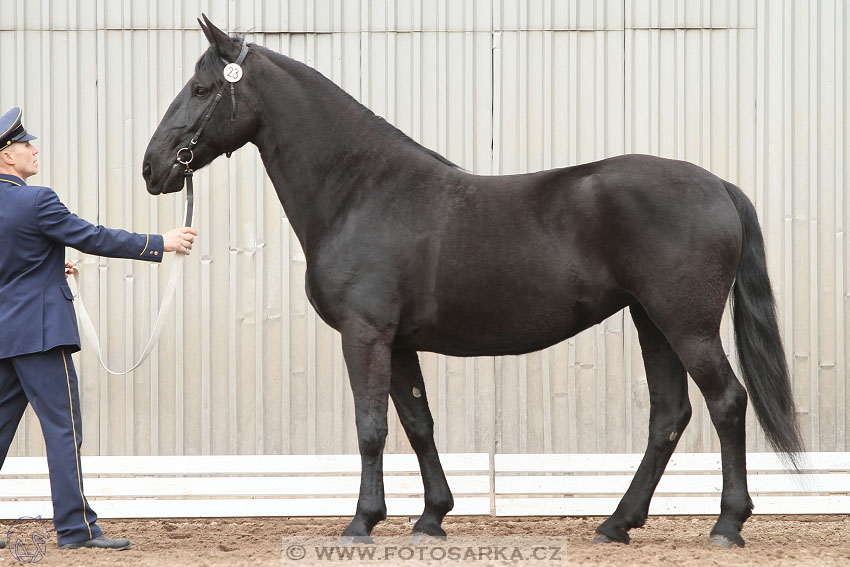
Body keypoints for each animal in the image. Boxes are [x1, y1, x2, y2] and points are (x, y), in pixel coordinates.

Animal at [142, 16, 800, 552]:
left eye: (202, 89)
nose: (152, 167)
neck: (361, 190)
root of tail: (718, 185)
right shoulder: (398, 341)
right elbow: (417, 422)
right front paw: (432, 517)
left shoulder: (365, 334)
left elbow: (371, 426)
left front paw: (362, 521)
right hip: (651, 322)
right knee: (668, 415)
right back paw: (616, 524)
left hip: (686, 325)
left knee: (726, 402)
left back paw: (727, 525)